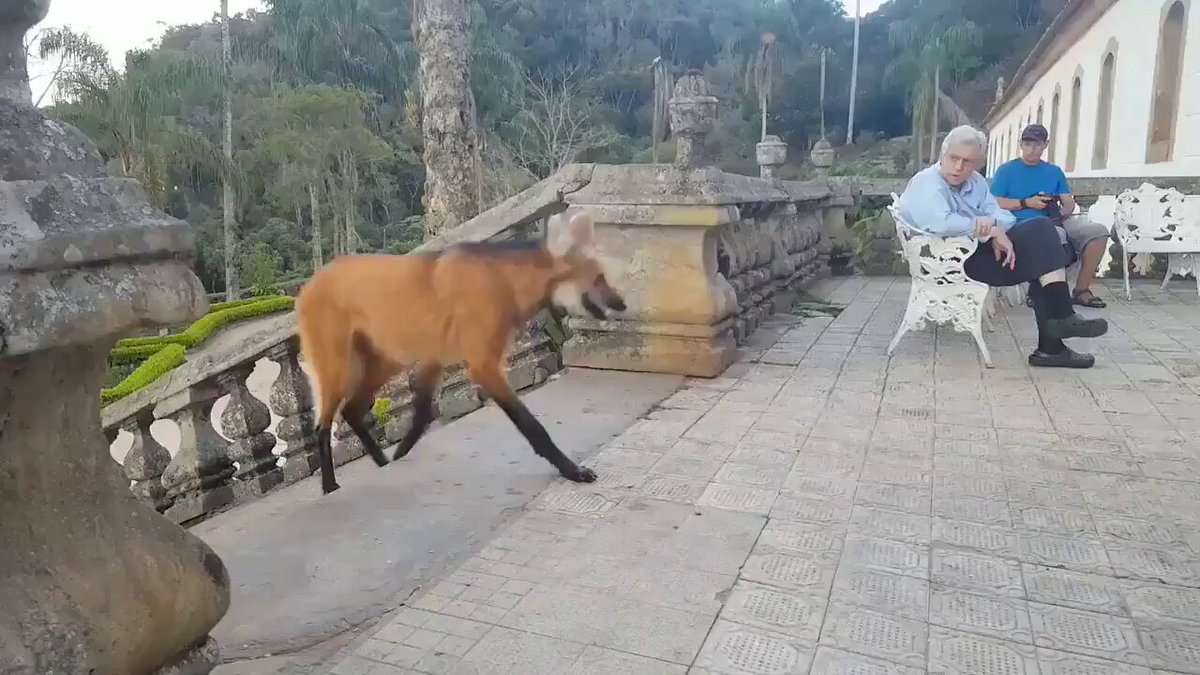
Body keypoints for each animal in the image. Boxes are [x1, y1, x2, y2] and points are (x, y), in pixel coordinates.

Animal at [294, 210, 626, 495]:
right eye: (598, 278)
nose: (622, 303)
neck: (504, 282)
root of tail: (306, 286)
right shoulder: (483, 365)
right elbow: (532, 425)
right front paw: (572, 470)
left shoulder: (435, 357)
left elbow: (423, 411)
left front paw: (401, 451)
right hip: (341, 366)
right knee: (322, 425)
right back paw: (329, 485)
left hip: (385, 362)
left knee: (351, 408)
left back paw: (380, 460)